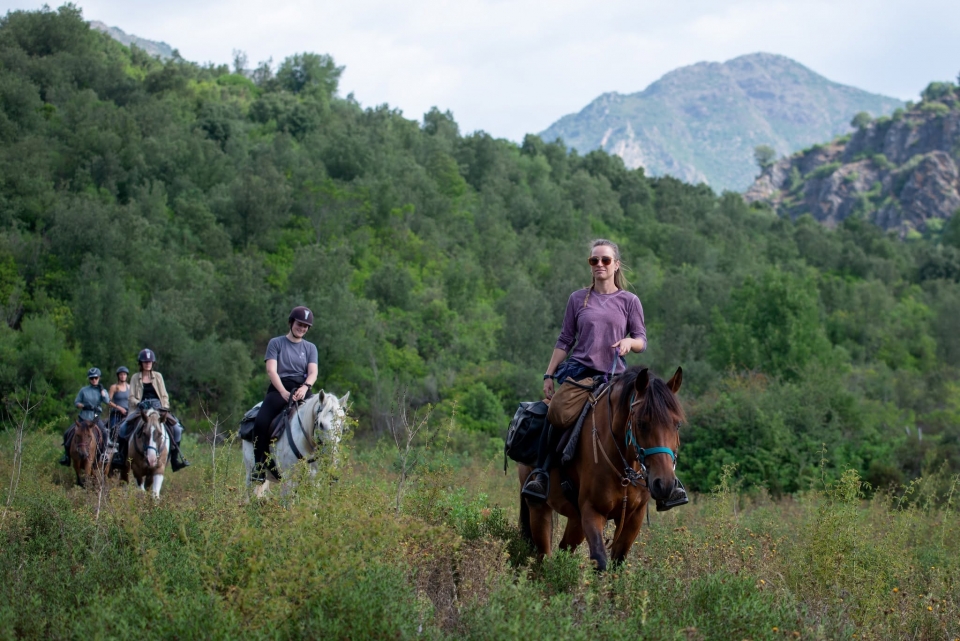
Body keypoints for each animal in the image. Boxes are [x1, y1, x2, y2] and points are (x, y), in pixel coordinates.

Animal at [518, 367, 685, 572]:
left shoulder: (633, 518)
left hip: (575, 520)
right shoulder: (593, 511)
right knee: (543, 556)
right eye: (641, 423)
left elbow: (617, 563)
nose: (665, 484)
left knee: (564, 550)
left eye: (677, 424)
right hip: (539, 510)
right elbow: (600, 561)